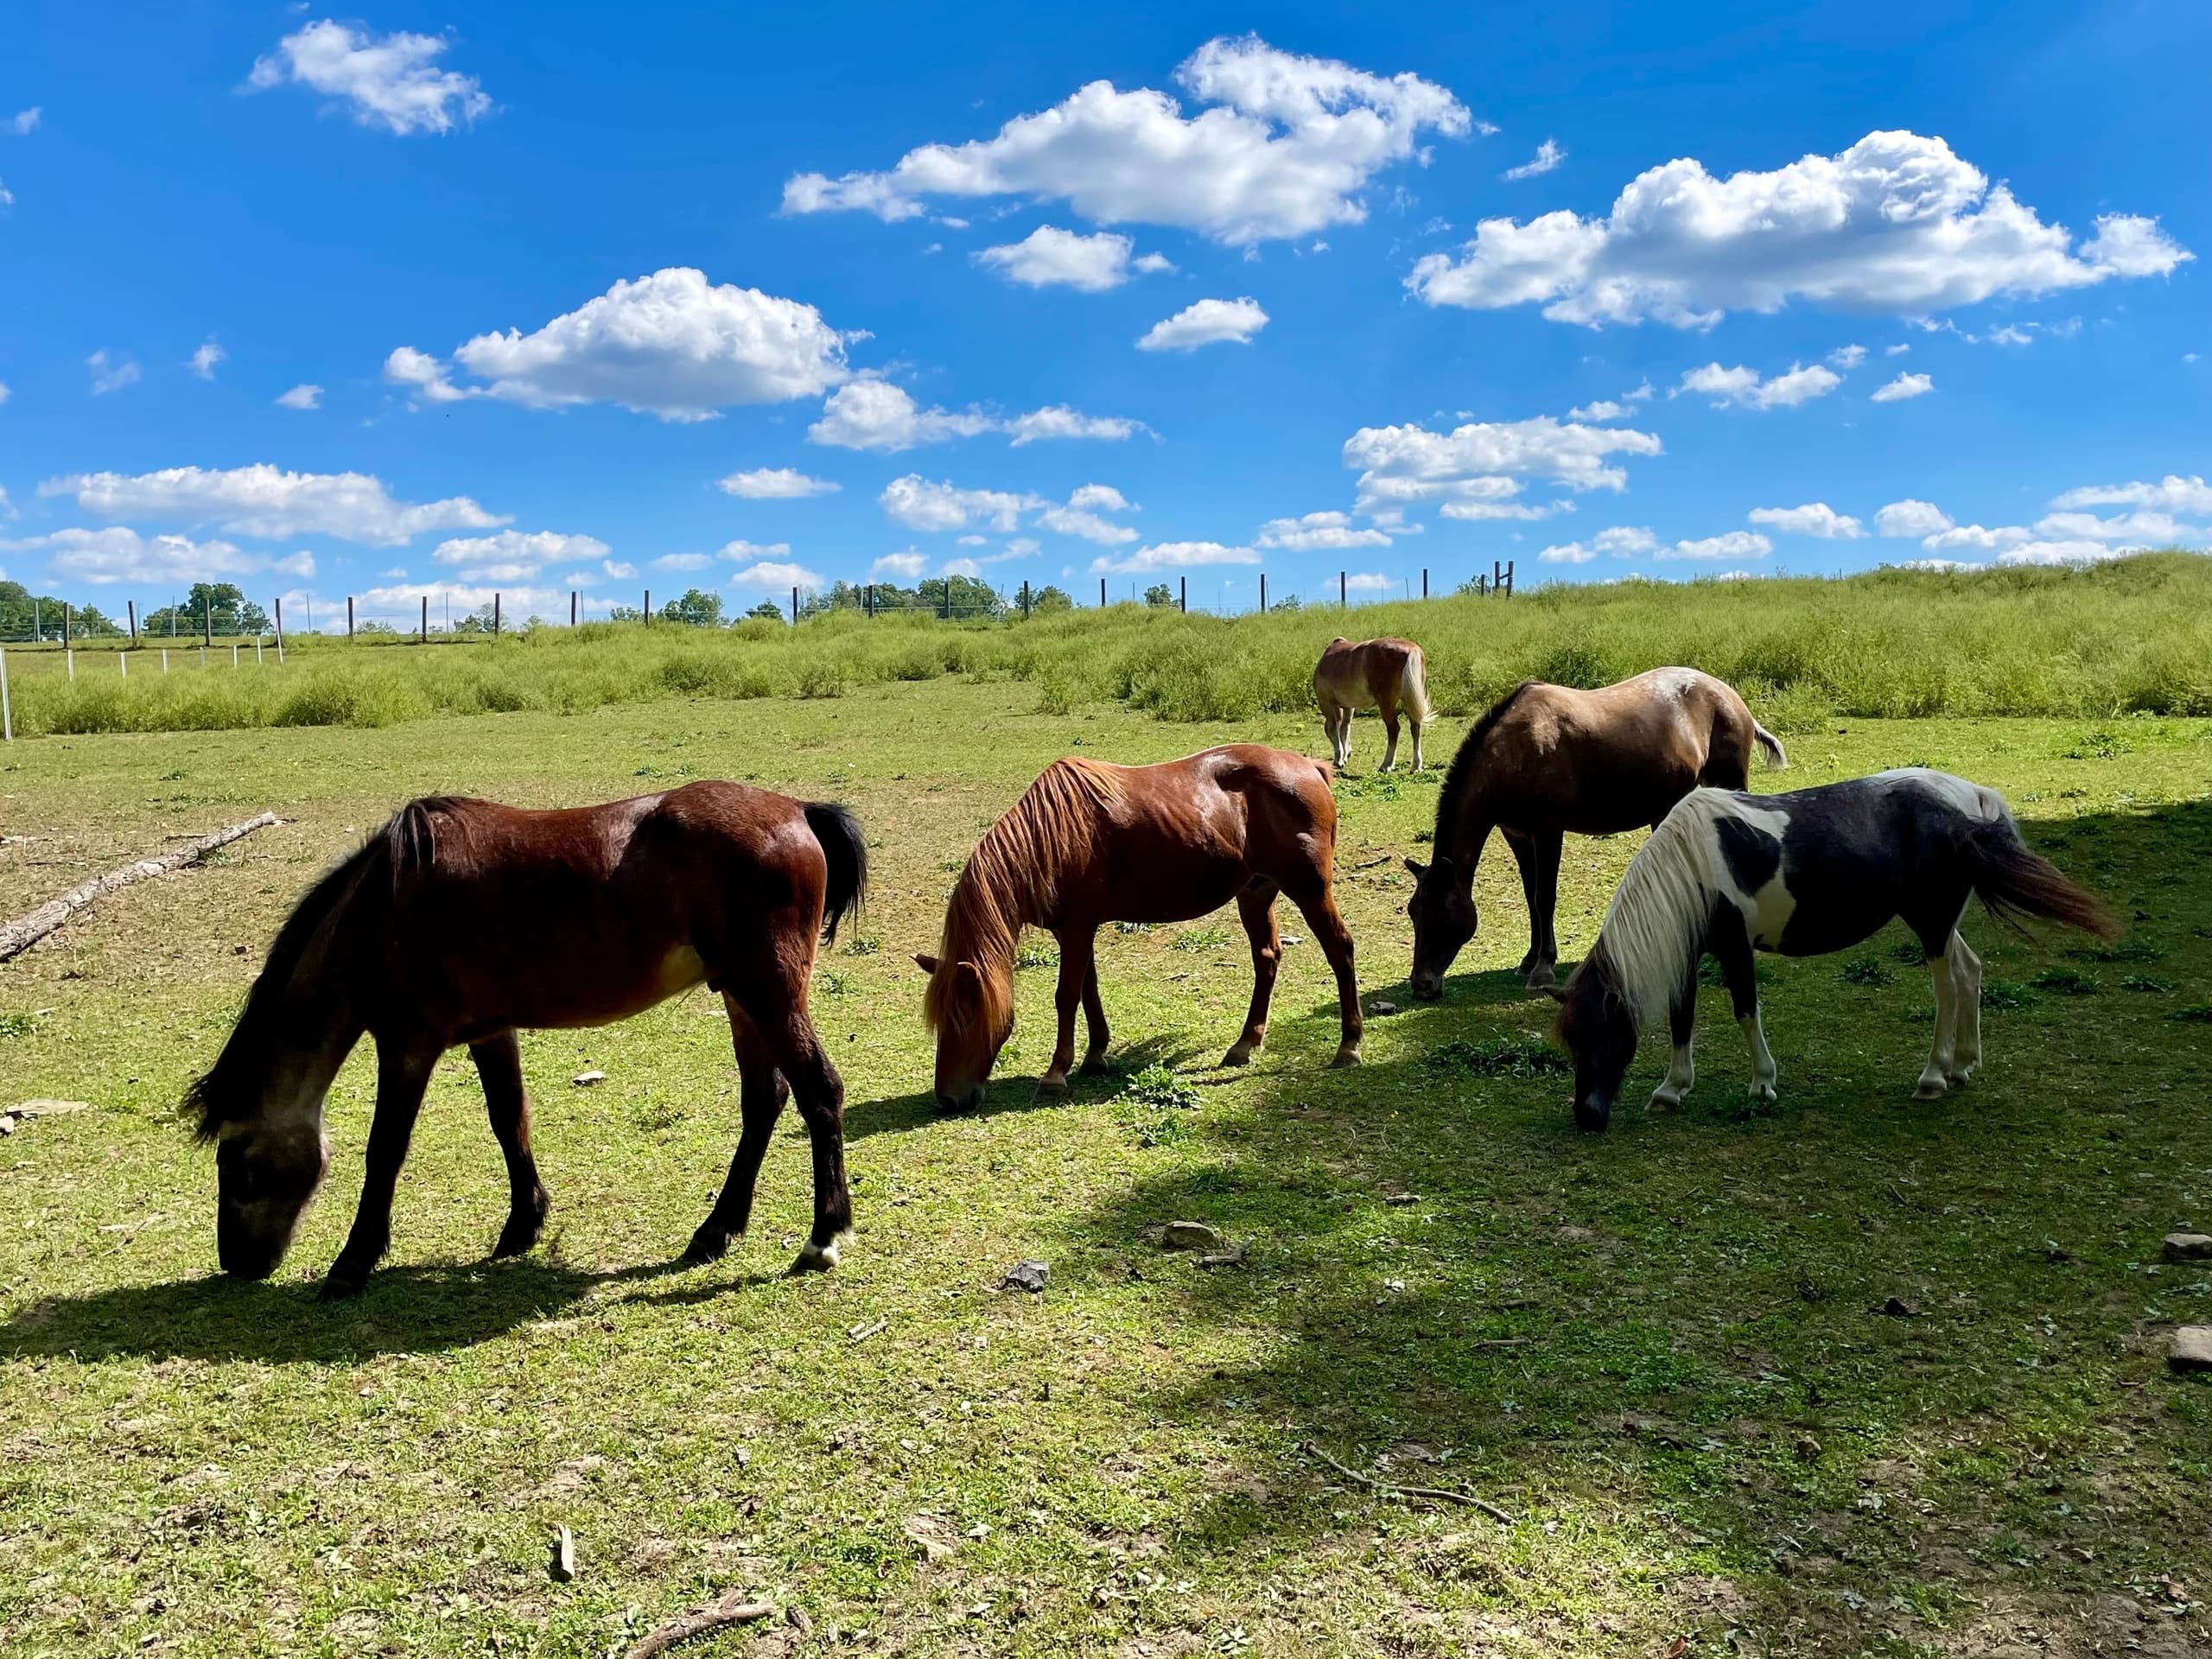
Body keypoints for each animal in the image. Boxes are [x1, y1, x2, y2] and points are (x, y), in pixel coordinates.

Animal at [188, 783, 868, 1298]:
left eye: (238, 1162)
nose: (237, 1264)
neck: (383, 905)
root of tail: (797, 809)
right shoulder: (491, 1033)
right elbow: (508, 1121)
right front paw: (522, 1227)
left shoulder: (408, 1044)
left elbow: (386, 1150)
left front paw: (353, 1263)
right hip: (740, 997)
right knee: (764, 1101)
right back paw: (715, 1231)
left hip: (768, 994)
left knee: (819, 1093)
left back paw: (824, 1236)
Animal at [916, 745, 1363, 1112]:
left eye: (964, 1016)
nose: (947, 1099)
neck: (1051, 839)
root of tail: (1309, 767)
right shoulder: (1075, 930)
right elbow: (1088, 990)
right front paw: (1095, 1055)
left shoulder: (1077, 927)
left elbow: (1066, 997)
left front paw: (1056, 1073)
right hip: (1256, 892)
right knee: (1267, 957)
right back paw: (1245, 1044)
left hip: (1310, 890)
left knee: (1340, 949)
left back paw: (1349, 1046)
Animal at [1312, 636, 1434, 772]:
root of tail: (1410, 650)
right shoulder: (1348, 706)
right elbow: (1345, 728)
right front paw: (1345, 755)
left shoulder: (1326, 703)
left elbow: (1334, 729)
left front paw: (1339, 760)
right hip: (1409, 701)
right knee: (1415, 728)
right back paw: (1416, 766)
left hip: (1387, 704)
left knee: (1394, 729)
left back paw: (1386, 765)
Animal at [1405, 667, 1787, 996]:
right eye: (1413, 911)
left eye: (1442, 915)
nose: (1422, 985)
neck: (1515, 750)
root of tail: (1731, 698)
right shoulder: (1517, 835)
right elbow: (1531, 897)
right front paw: (1530, 958)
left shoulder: (1548, 831)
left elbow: (1544, 898)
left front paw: (1543, 967)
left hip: (1728, 783)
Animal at [1549, 769, 2116, 1131]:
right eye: (1572, 1042)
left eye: (1603, 1036)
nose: (1586, 1117)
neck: (1697, 861)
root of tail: (1971, 798)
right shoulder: (1690, 951)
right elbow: (1681, 1018)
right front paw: (1672, 1089)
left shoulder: (1735, 948)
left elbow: (1745, 1011)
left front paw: (1762, 1083)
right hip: (1940, 922)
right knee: (1970, 971)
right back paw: (1962, 1064)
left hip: (1931, 923)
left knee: (1947, 987)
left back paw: (1934, 1076)